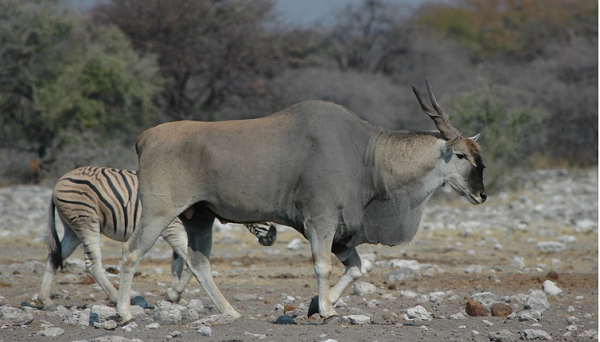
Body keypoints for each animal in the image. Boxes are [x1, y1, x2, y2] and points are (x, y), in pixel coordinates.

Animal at [38, 167, 278, 308]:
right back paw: (116, 297)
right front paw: (174, 293)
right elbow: (190, 261)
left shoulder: (176, 232)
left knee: (54, 257)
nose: (274, 236)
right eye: (260, 210)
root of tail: (58, 183)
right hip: (86, 221)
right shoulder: (172, 229)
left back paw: (45, 299)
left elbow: (177, 264)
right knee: (92, 263)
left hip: (73, 228)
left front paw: (174, 294)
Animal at [115, 79, 486, 324]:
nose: (482, 194)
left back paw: (230, 311)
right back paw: (123, 314)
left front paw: (315, 305)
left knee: (198, 262)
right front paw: (326, 310)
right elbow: (323, 266)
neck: (368, 154)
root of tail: (146, 137)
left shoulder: (341, 235)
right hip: (159, 214)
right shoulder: (320, 224)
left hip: (200, 218)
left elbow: (357, 269)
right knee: (132, 253)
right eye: (461, 155)